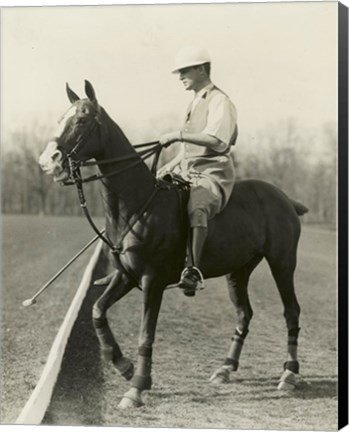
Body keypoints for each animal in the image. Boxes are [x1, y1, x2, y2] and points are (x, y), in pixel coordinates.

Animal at [38, 81, 308, 408]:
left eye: (82, 119)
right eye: (60, 119)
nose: (47, 161)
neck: (137, 204)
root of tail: (286, 199)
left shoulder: (152, 280)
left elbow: (146, 334)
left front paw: (137, 387)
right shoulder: (126, 276)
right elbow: (97, 311)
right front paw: (124, 366)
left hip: (282, 262)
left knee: (291, 311)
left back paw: (289, 374)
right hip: (239, 270)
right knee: (244, 313)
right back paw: (225, 369)